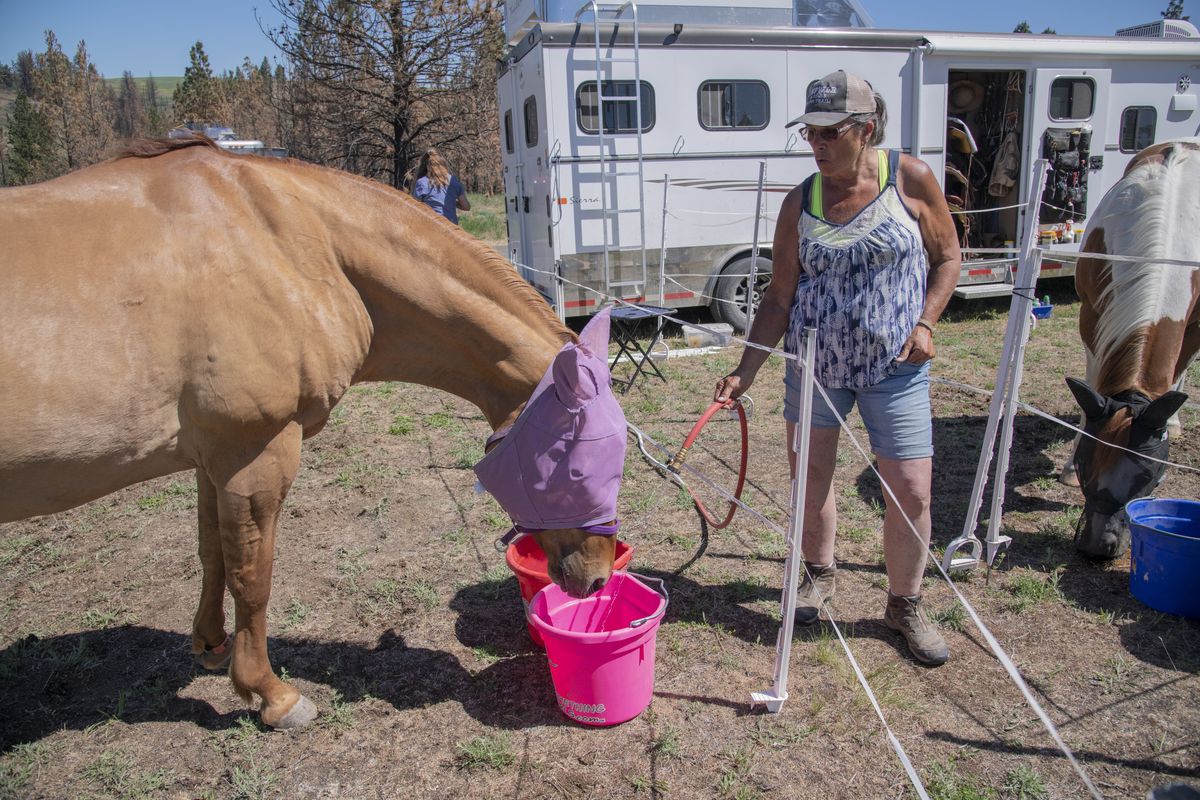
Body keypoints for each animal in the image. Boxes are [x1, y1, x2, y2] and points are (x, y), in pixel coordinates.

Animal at [2, 139, 628, 734]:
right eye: (579, 465)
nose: (600, 577)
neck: (297, 248)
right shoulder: (256, 453)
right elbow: (252, 577)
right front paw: (271, 695)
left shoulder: (213, 458)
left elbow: (213, 554)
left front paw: (210, 646)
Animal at [1060, 137, 1200, 561]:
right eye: (1086, 466)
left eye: (1149, 475)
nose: (1096, 545)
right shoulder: (1091, 314)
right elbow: (1093, 384)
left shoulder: (1192, 324)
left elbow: (1178, 372)